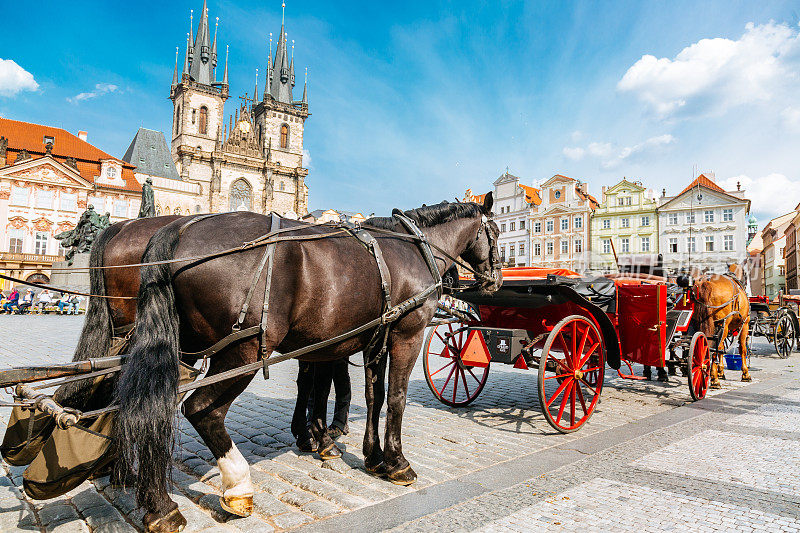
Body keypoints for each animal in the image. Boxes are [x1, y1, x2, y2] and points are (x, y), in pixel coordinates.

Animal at [115, 197, 500, 528]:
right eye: (495, 232)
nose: (495, 279)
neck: (414, 247)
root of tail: (180, 228)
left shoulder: (375, 340)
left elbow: (373, 398)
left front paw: (373, 457)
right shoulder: (407, 335)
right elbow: (395, 399)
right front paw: (396, 463)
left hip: (182, 353)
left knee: (152, 409)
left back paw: (159, 506)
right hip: (243, 351)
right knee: (202, 410)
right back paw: (238, 486)